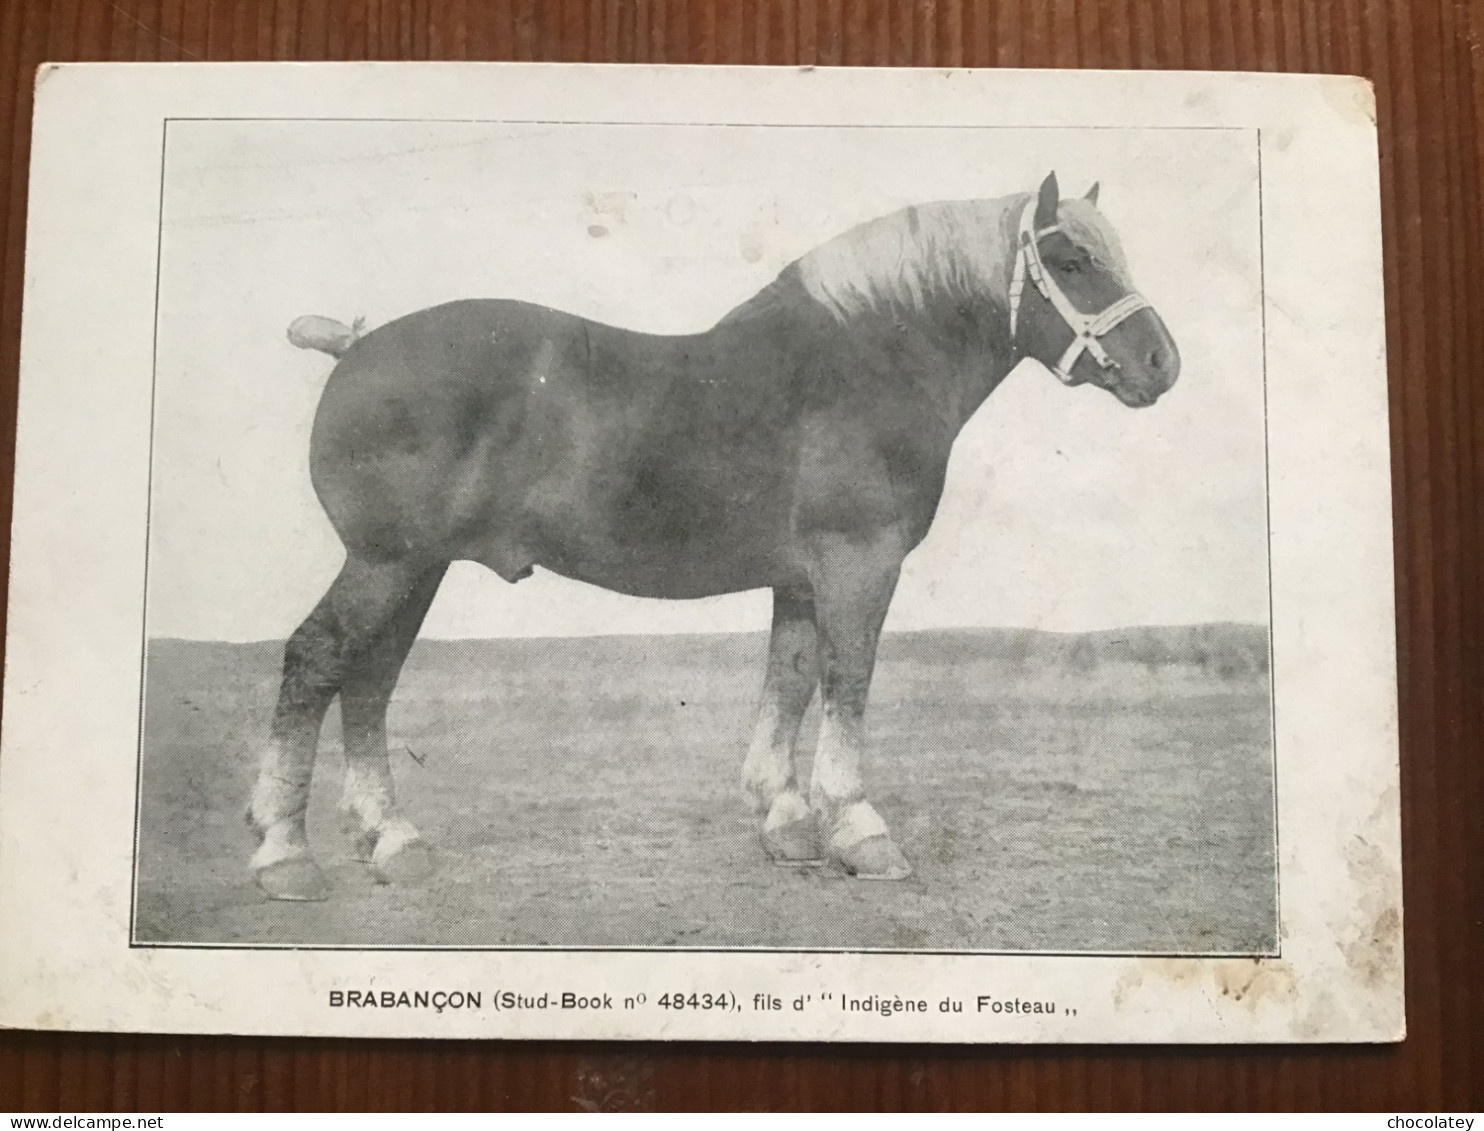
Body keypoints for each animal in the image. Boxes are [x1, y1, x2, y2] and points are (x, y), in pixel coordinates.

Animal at [252, 172, 1181, 896]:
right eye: (1072, 262)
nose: (1163, 364)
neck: (864, 358)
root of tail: (354, 345)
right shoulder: (858, 563)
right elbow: (848, 678)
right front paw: (860, 829)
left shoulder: (801, 577)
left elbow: (791, 677)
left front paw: (787, 823)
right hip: (386, 563)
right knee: (317, 661)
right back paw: (284, 854)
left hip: (419, 569)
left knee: (370, 680)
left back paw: (391, 841)